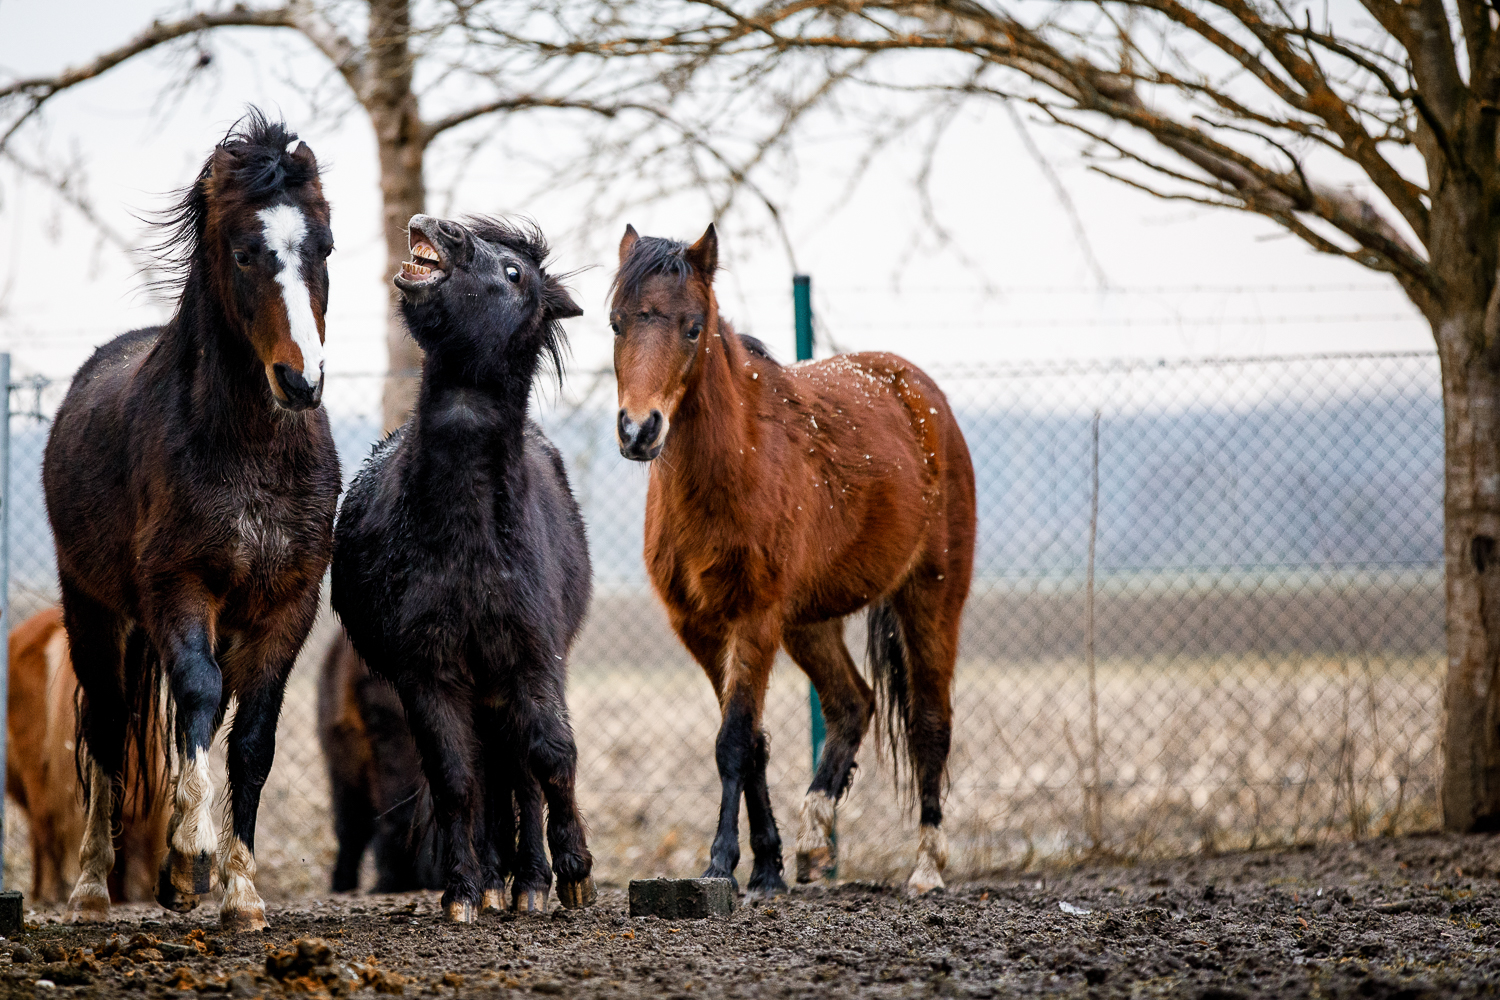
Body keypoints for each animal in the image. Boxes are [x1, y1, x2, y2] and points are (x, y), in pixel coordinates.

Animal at [41, 111, 340, 929]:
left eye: (324, 247)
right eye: (244, 252)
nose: (301, 380)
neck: (251, 452)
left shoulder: (287, 607)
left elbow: (252, 742)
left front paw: (240, 893)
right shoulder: (180, 591)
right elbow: (200, 700)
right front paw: (194, 846)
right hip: (94, 612)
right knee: (110, 730)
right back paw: (91, 889)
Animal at [334, 212, 597, 923]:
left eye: (514, 271)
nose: (437, 228)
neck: (470, 537)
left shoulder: (533, 658)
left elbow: (552, 756)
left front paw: (575, 874)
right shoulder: (430, 671)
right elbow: (456, 779)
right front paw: (462, 893)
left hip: (505, 680)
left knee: (521, 773)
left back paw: (530, 883)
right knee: (485, 774)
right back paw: (496, 880)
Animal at [612, 224, 978, 893]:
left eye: (693, 327)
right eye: (617, 323)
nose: (638, 431)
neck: (734, 464)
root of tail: (918, 391)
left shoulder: (754, 618)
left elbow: (733, 740)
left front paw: (721, 863)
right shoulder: (701, 627)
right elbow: (753, 741)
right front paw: (768, 866)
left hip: (931, 597)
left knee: (930, 724)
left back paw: (926, 868)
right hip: (809, 623)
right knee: (852, 704)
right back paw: (813, 838)